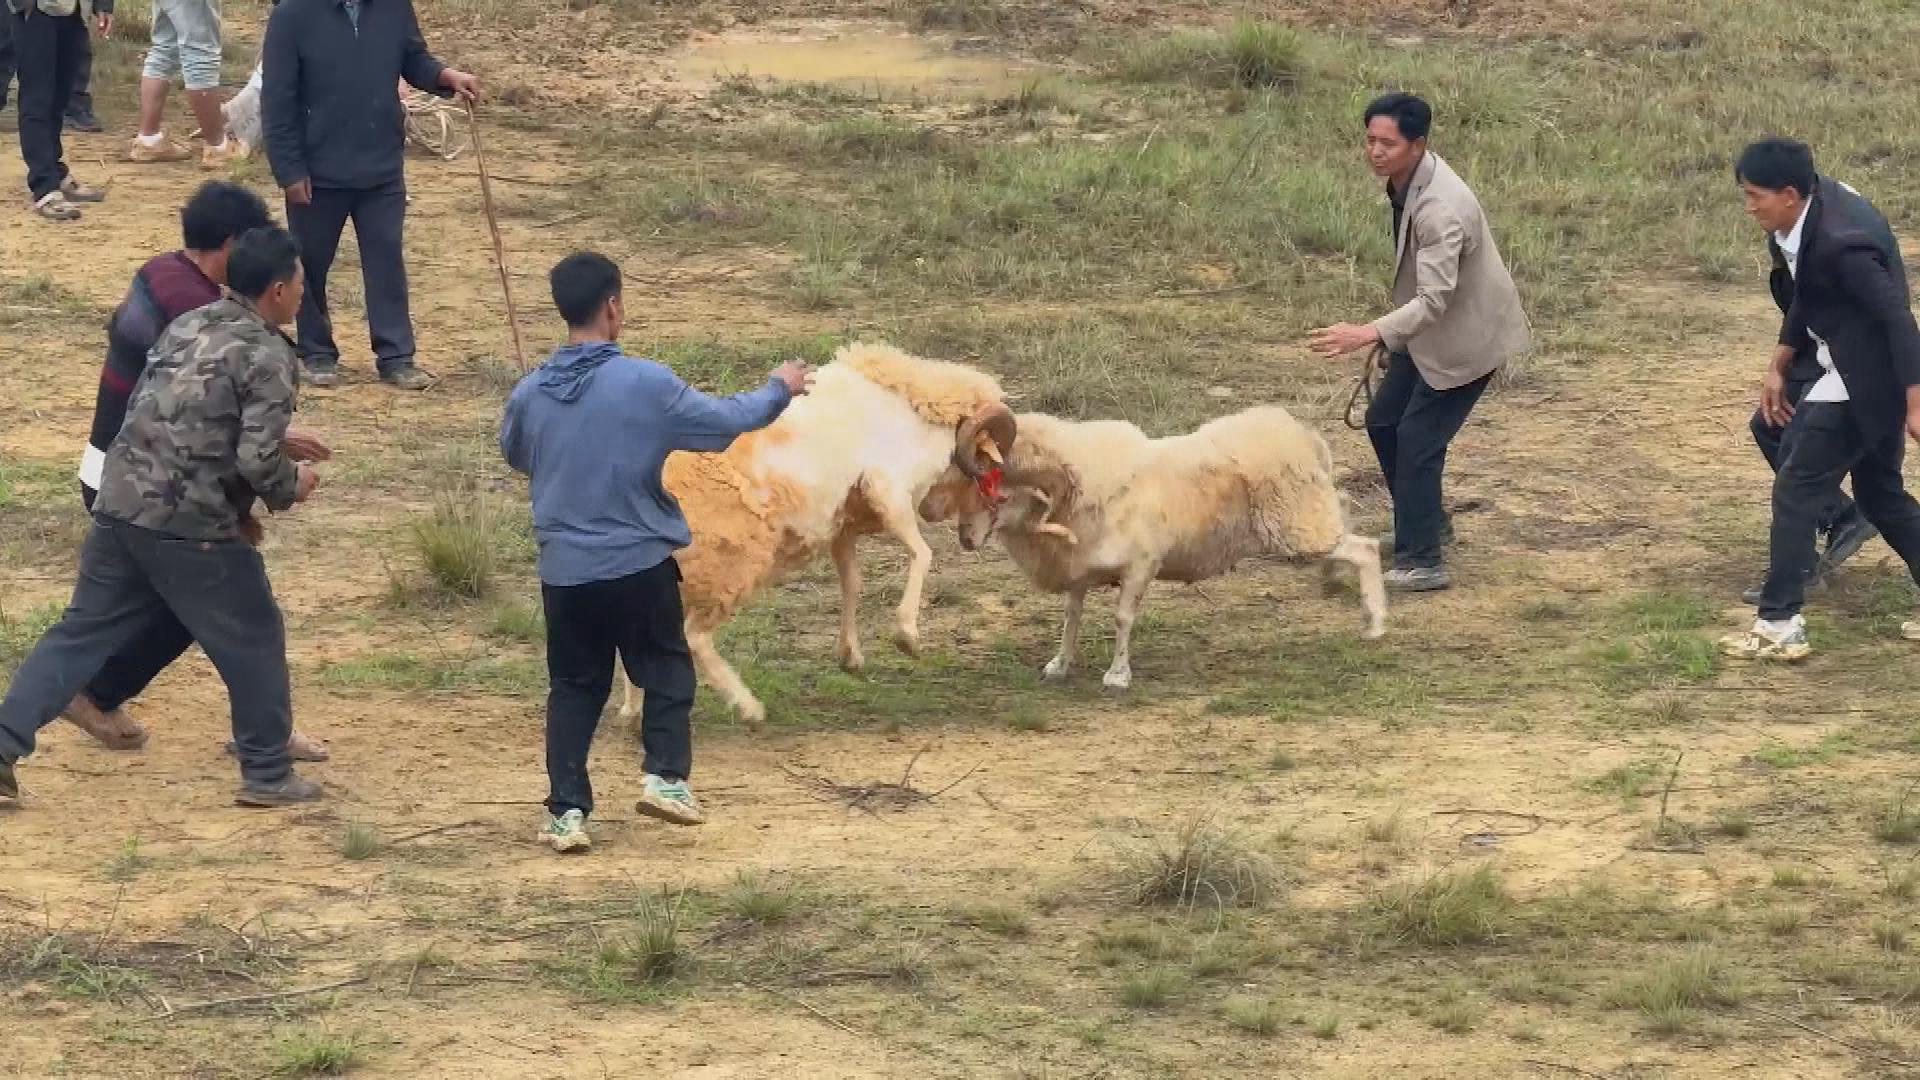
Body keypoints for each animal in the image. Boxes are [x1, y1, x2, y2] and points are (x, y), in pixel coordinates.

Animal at [617, 342, 1016, 726]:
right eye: (992, 466)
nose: (972, 540)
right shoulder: (888, 490)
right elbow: (923, 553)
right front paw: (907, 637)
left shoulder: (844, 526)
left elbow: (853, 582)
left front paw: (850, 656)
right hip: (731, 568)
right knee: (695, 637)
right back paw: (748, 707)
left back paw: (632, 711)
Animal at [917, 404, 1386, 690]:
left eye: (987, 483)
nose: (961, 535)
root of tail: (1305, 437)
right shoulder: (1079, 568)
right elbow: (1072, 617)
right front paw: (1059, 665)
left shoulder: (1142, 565)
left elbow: (1122, 618)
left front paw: (1117, 675)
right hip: (1307, 520)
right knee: (1345, 510)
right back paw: (1332, 579)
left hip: (1297, 526)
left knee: (1365, 548)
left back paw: (1375, 623)